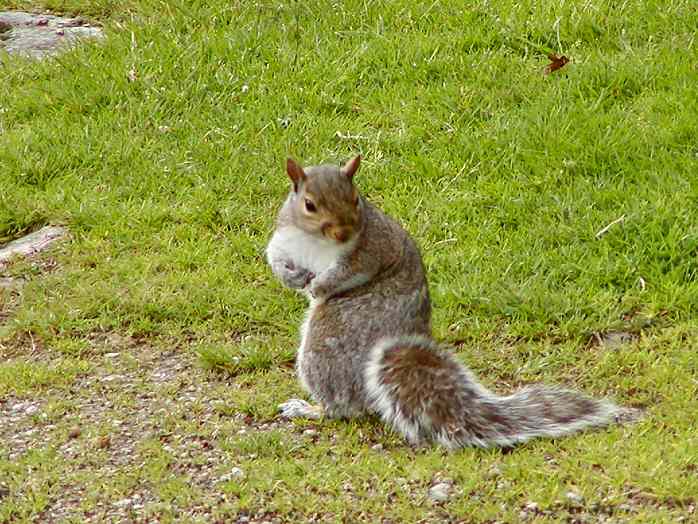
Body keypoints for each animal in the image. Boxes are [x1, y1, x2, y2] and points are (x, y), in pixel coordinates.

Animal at [266, 155, 632, 446]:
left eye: (356, 199)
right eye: (309, 204)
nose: (343, 232)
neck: (313, 240)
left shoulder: (372, 248)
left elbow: (350, 272)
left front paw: (319, 286)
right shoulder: (284, 237)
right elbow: (274, 256)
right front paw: (292, 277)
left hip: (328, 341)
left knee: (343, 409)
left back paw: (311, 408)